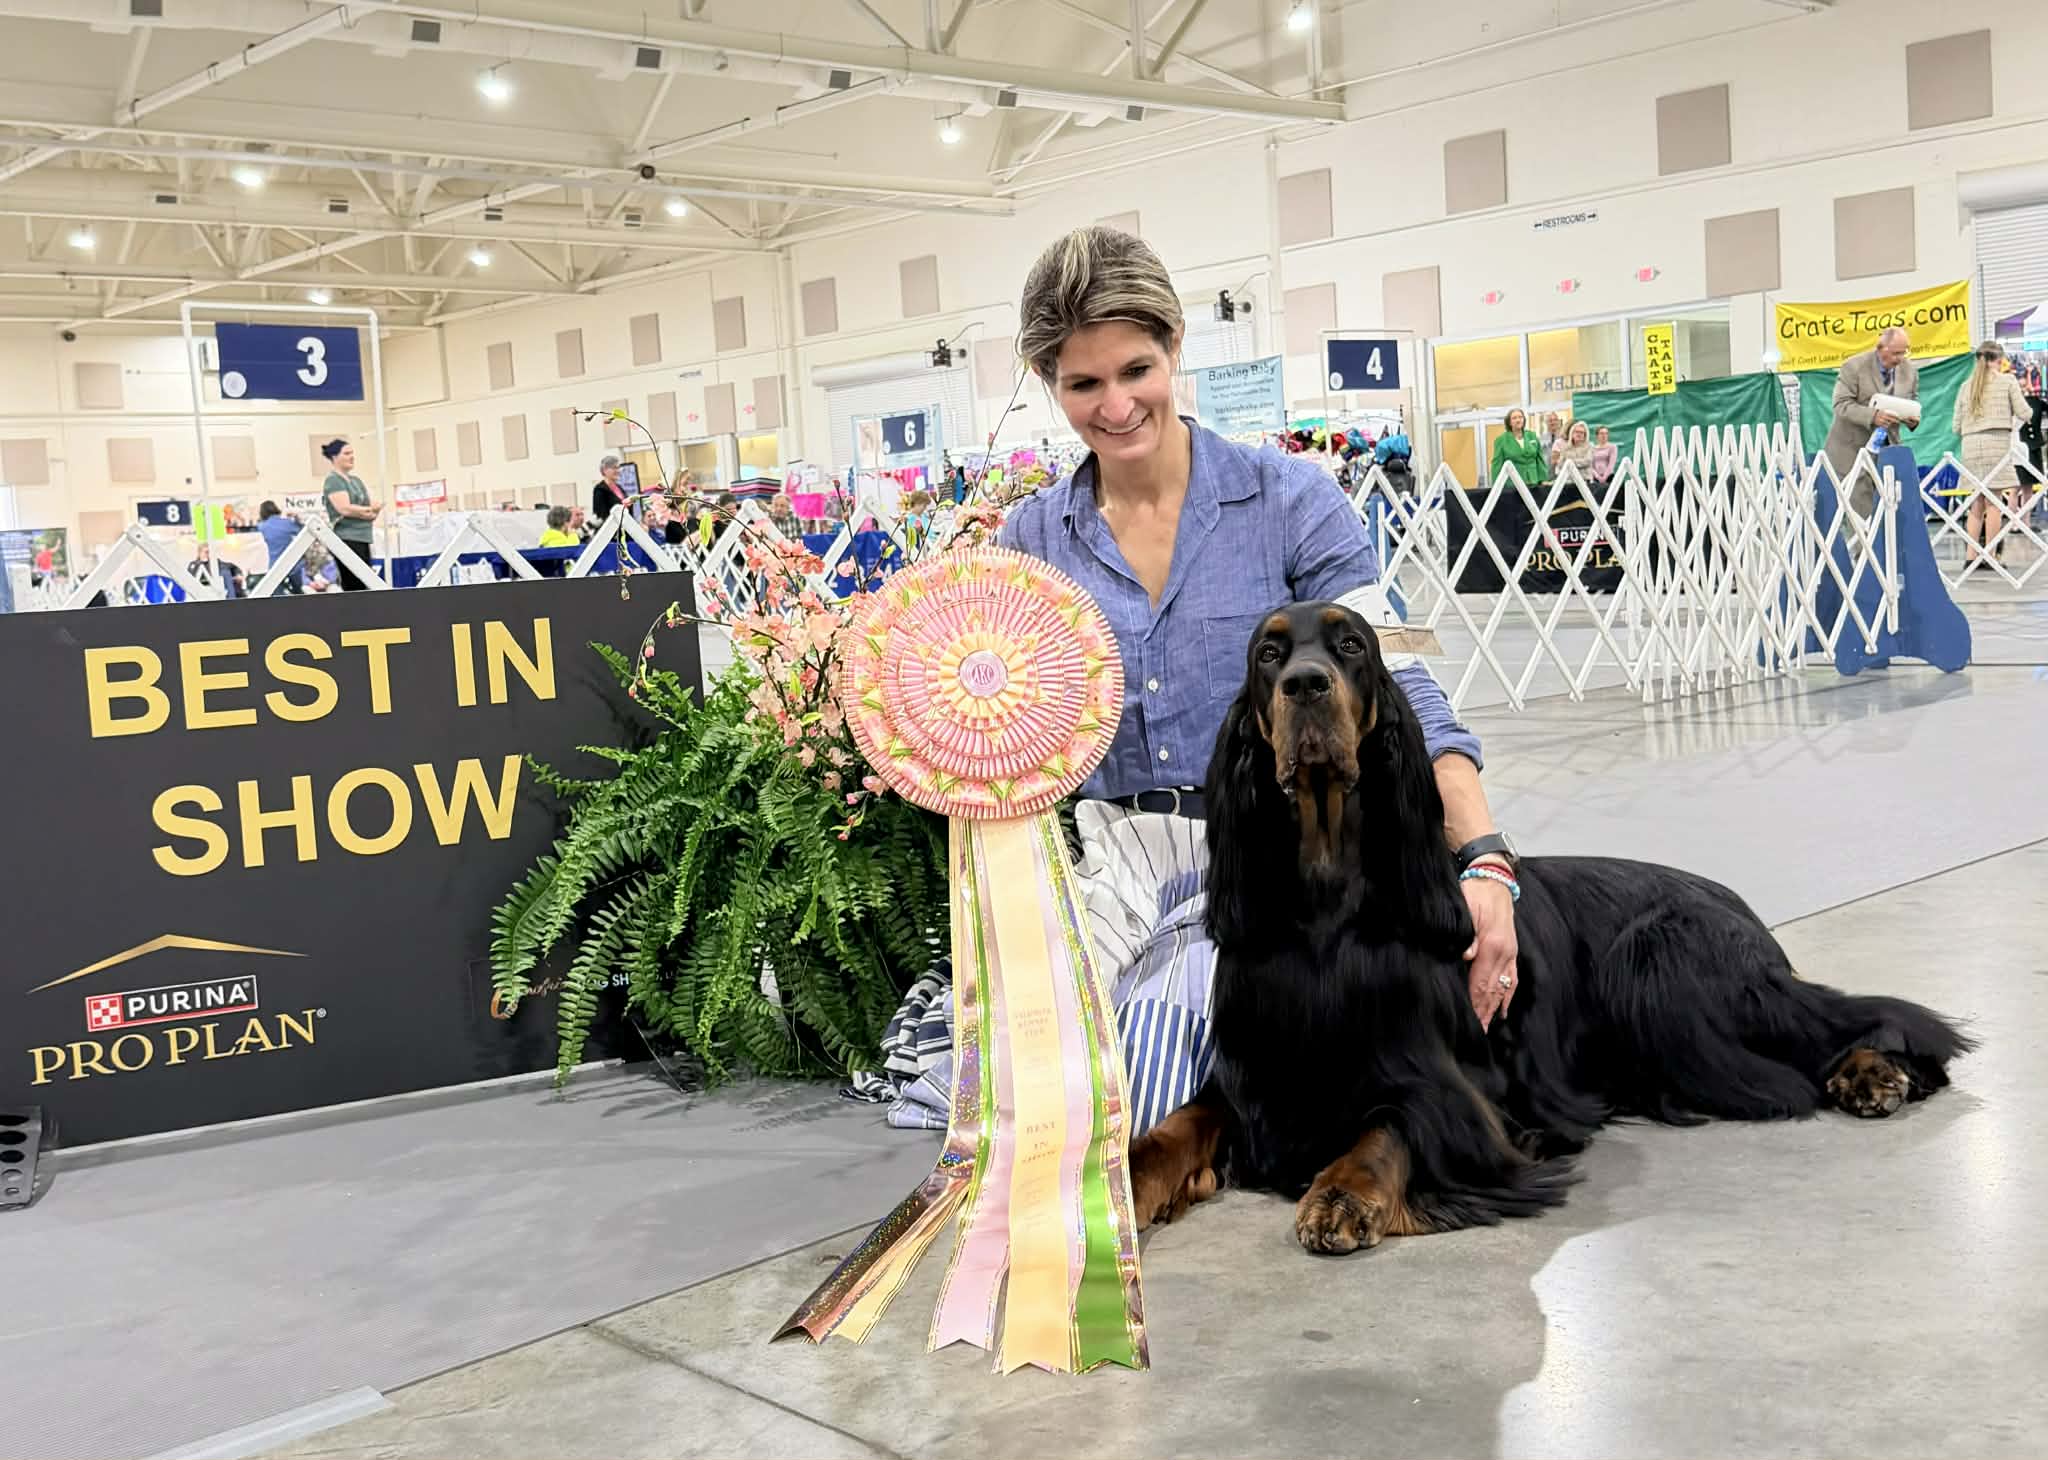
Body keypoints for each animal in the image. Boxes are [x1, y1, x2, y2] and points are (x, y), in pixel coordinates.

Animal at [1126, 601, 1971, 1255]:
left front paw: (1343, 1192)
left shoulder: (1453, 1081)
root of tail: (1739, 908)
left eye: (1352, 646)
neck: (1326, 904)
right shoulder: (1258, 1070)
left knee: (1852, 1019)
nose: (1305, 685)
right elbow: (1178, 1123)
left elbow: (1393, 1124)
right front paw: (1124, 1185)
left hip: (1660, 964)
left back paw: (1872, 1072)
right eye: (1269, 653)